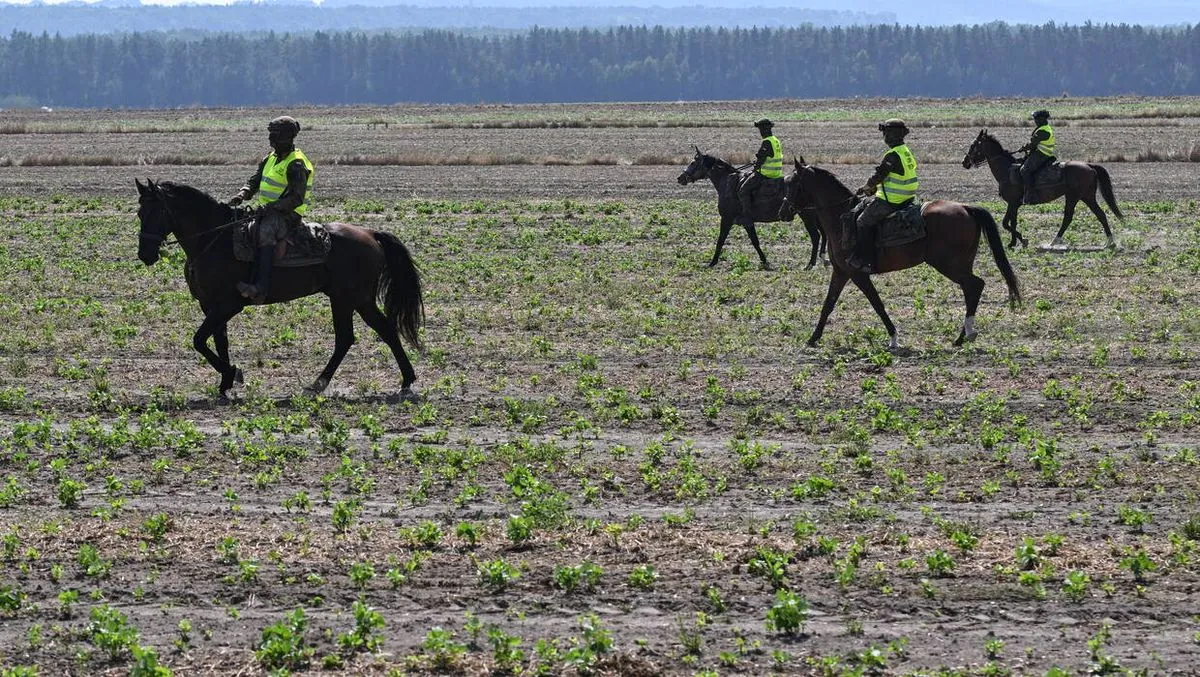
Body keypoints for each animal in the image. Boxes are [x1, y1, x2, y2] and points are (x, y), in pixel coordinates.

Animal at [135, 180, 424, 400]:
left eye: (156, 213)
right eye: (140, 214)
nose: (145, 254)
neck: (214, 240)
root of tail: (371, 233)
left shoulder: (228, 305)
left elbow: (198, 340)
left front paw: (232, 373)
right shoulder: (211, 306)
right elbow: (218, 341)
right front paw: (227, 382)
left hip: (348, 299)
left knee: (353, 336)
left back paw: (324, 383)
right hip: (354, 300)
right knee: (374, 332)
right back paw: (402, 380)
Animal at [676, 149, 825, 271]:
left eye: (693, 162)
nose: (680, 178)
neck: (728, 182)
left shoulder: (727, 219)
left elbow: (721, 240)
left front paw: (712, 262)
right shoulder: (746, 223)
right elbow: (755, 242)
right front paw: (765, 261)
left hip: (807, 216)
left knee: (815, 236)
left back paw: (810, 264)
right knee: (823, 234)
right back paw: (822, 257)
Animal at [777, 158, 1022, 348]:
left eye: (793, 184)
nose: (782, 211)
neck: (841, 216)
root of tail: (966, 208)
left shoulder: (857, 273)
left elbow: (877, 304)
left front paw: (894, 337)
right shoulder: (840, 272)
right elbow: (828, 304)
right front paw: (813, 337)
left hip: (949, 264)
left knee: (974, 286)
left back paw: (966, 334)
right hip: (959, 264)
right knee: (971, 289)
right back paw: (962, 336)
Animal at [955, 129, 1123, 248]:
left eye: (973, 145)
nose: (964, 162)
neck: (1006, 170)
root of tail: (1089, 166)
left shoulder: (1013, 203)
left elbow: (1005, 223)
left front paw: (1022, 240)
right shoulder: (1015, 204)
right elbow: (1012, 222)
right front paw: (1014, 243)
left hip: (1075, 196)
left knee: (1069, 217)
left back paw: (1055, 241)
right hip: (1086, 196)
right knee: (1100, 214)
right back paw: (1110, 242)